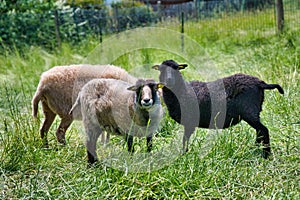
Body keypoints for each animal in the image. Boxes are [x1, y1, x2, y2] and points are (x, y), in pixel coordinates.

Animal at [152, 59, 284, 158]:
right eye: (161, 70)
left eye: (176, 68)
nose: (169, 80)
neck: (182, 91)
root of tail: (260, 83)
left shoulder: (190, 122)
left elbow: (185, 139)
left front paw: (183, 155)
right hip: (253, 112)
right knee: (259, 131)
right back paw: (255, 149)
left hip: (250, 111)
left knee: (264, 130)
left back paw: (266, 155)